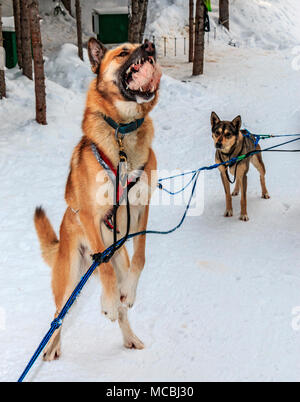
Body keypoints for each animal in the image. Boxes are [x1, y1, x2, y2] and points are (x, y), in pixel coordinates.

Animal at [33, 38, 162, 362]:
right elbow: (103, 272)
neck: (122, 135)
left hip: (117, 256)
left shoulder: (142, 210)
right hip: (70, 279)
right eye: (123, 52)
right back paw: (52, 347)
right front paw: (108, 303)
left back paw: (128, 334)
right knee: (58, 315)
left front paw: (128, 293)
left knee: (119, 294)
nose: (149, 45)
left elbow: (141, 258)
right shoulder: (92, 217)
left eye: (143, 44)